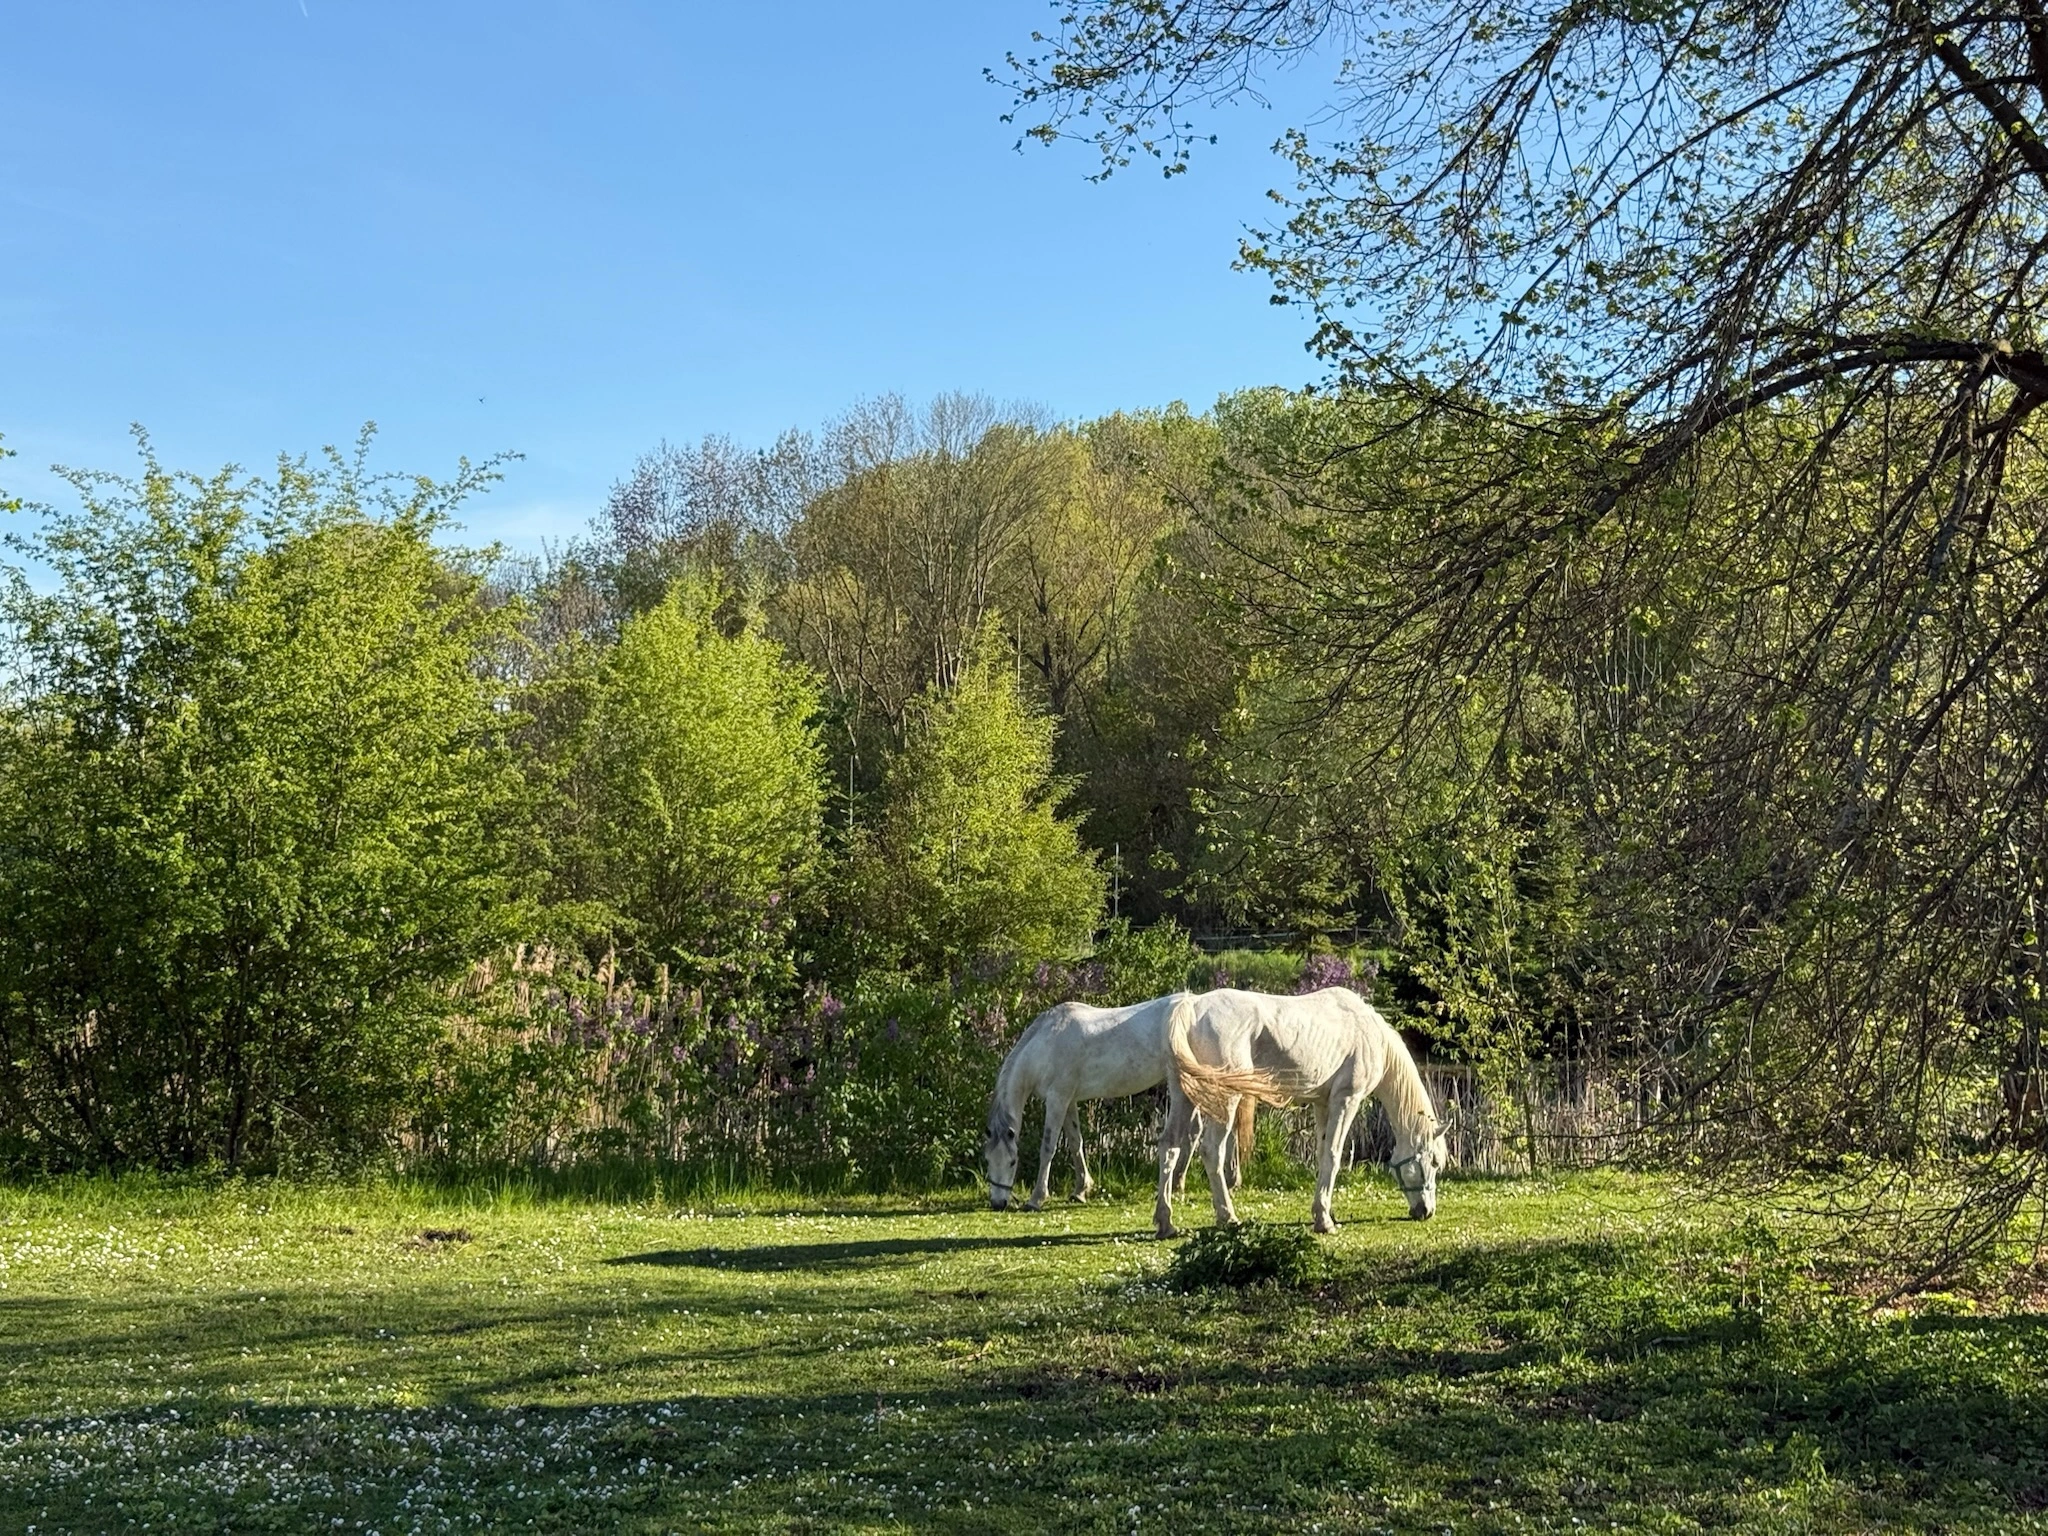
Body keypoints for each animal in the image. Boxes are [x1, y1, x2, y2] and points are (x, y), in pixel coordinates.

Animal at [984, 994, 1256, 1211]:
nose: (998, 1204)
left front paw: (1036, 1198)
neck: (1046, 1043)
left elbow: (1048, 1148)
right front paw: (1081, 1190)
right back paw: (1193, 1181)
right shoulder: (1068, 1101)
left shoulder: (1057, 1100)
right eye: (988, 1161)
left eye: (1012, 1161)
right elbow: (1075, 1143)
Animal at [1156, 986, 1449, 1237]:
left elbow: (1322, 1155)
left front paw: (1324, 1210)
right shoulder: (1347, 1100)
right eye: (1434, 1162)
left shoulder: (1323, 1104)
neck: (1371, 1036)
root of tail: (1193, 1007)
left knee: (1170, 1146)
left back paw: (1165, 1222)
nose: (1427, 1211)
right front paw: (1324, 1221)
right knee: (1211, 1151)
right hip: (1225, 1099)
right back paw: (1227, 1217)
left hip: (1184, 1097)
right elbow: (1333, 1155)